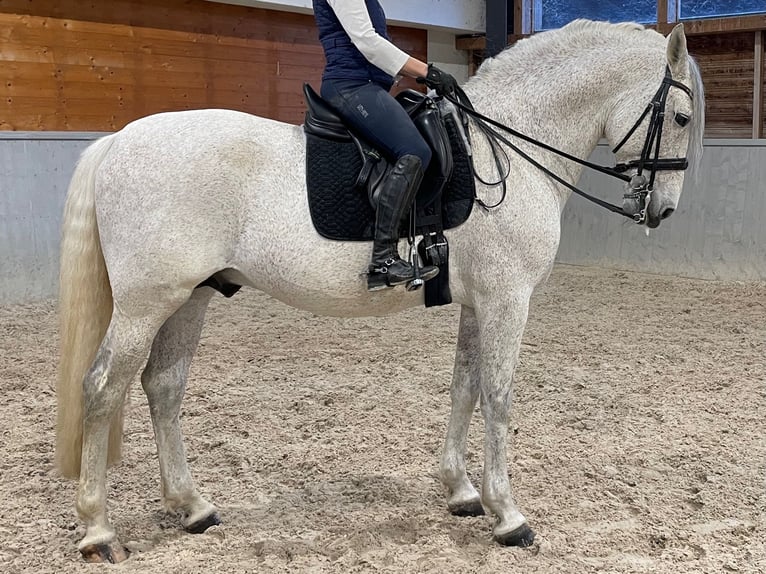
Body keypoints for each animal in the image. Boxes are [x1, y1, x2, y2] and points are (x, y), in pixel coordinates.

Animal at [55, 20, 708, 564]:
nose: (663, 210)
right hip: (147, 302)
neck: (507, 151)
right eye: (680, 118)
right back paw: (99, 531)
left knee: (163, 386)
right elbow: (497, 397)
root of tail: (119, 139)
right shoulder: (507, 299)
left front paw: (462, 491)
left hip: (191, 296)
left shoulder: (477, 302)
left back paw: (193, 508)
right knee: (103, 388)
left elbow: (463, 387)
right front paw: (509, 515)